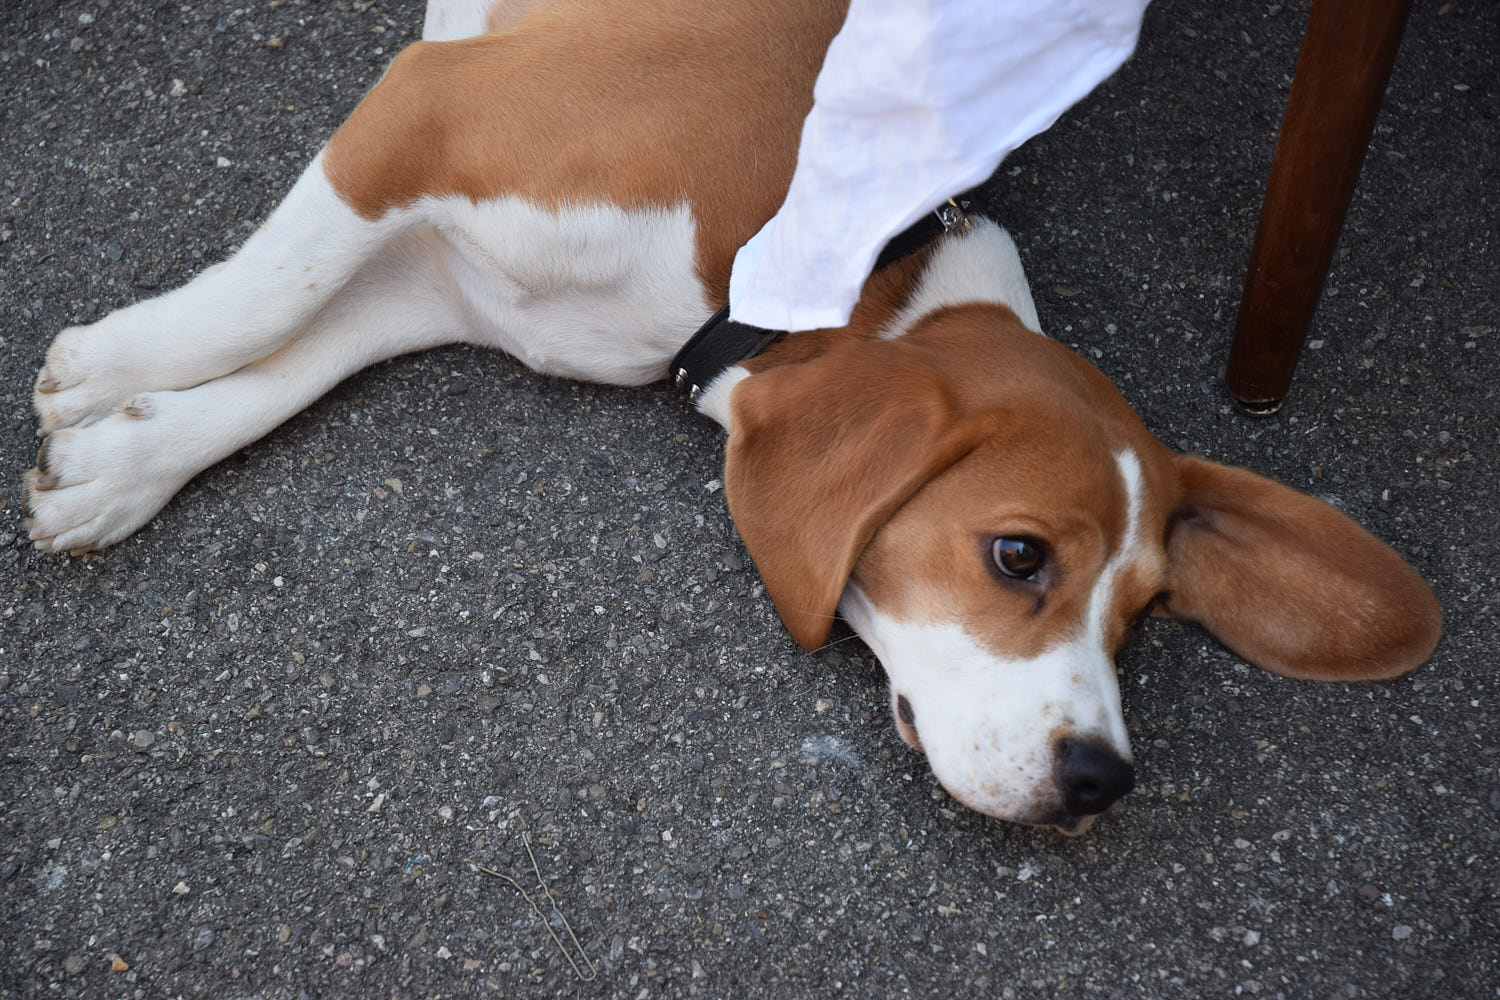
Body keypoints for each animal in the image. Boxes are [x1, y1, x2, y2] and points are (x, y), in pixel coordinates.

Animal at [23, 0, 1441, 834]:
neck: (813, 253)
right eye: (1018, 556)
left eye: (1145, 616)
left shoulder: (453, 288)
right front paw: (109, 363)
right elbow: (265, 297)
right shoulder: (429, 103)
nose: (1104, 783)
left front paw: (121, 459)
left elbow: (292, 355)